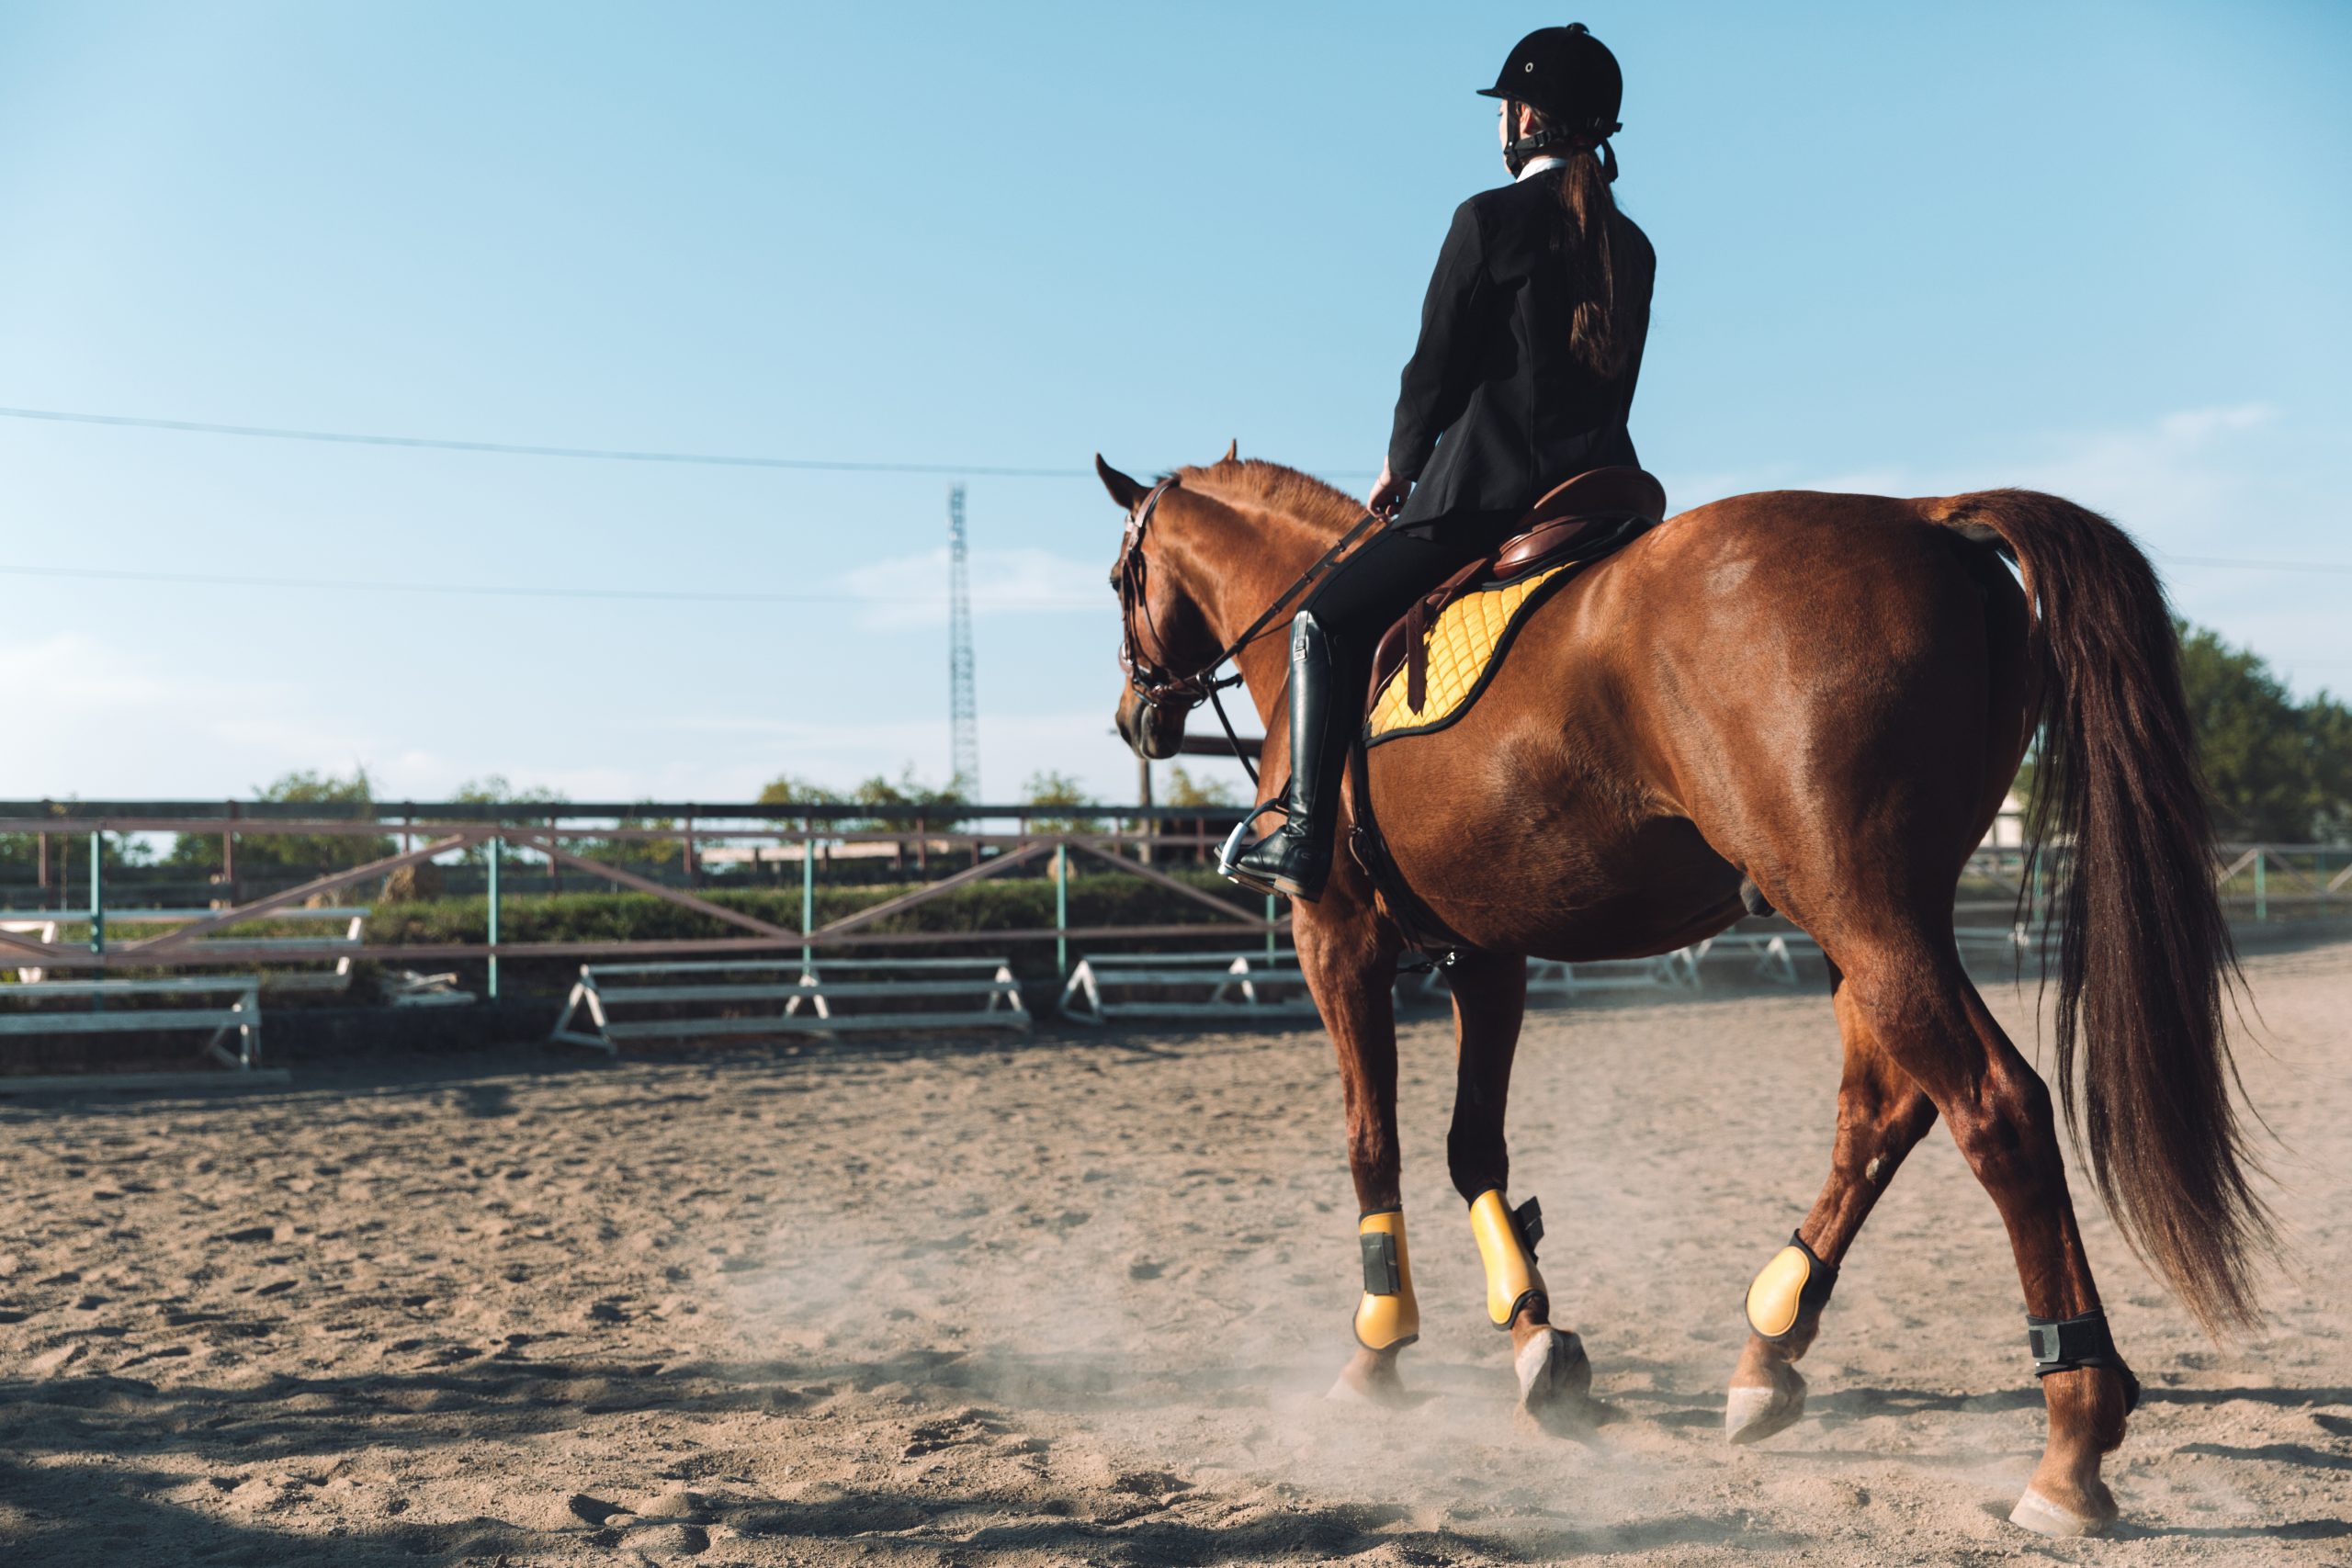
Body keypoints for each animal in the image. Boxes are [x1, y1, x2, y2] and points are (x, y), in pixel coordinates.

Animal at [1101, 451, 2277, 1532]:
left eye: (1122, 576)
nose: (1132, 719)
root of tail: (1923, 515)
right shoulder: (1486, 955)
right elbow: (1473, 1149)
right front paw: (1534, 1338)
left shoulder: (1333, 937)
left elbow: (1369, 1142)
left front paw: (1377, 1352)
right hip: (1870, 916)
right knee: (1885, 1110)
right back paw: (1769, 1352)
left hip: (1859, 908)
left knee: (1996, 1108)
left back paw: (2069, 1444)